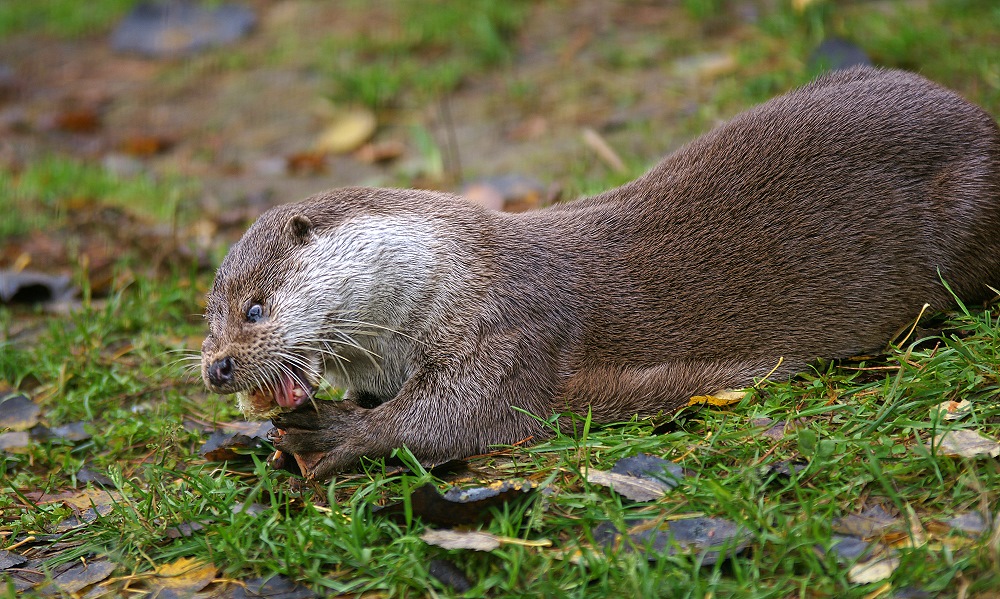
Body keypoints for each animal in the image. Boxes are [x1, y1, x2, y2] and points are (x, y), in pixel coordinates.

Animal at [201, 65, 1000, 480]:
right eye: (208, 321)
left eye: (254, 308)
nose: (216, 368)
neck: (451, 279)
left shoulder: (512, 327)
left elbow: (452, 419)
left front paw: (330, 433)